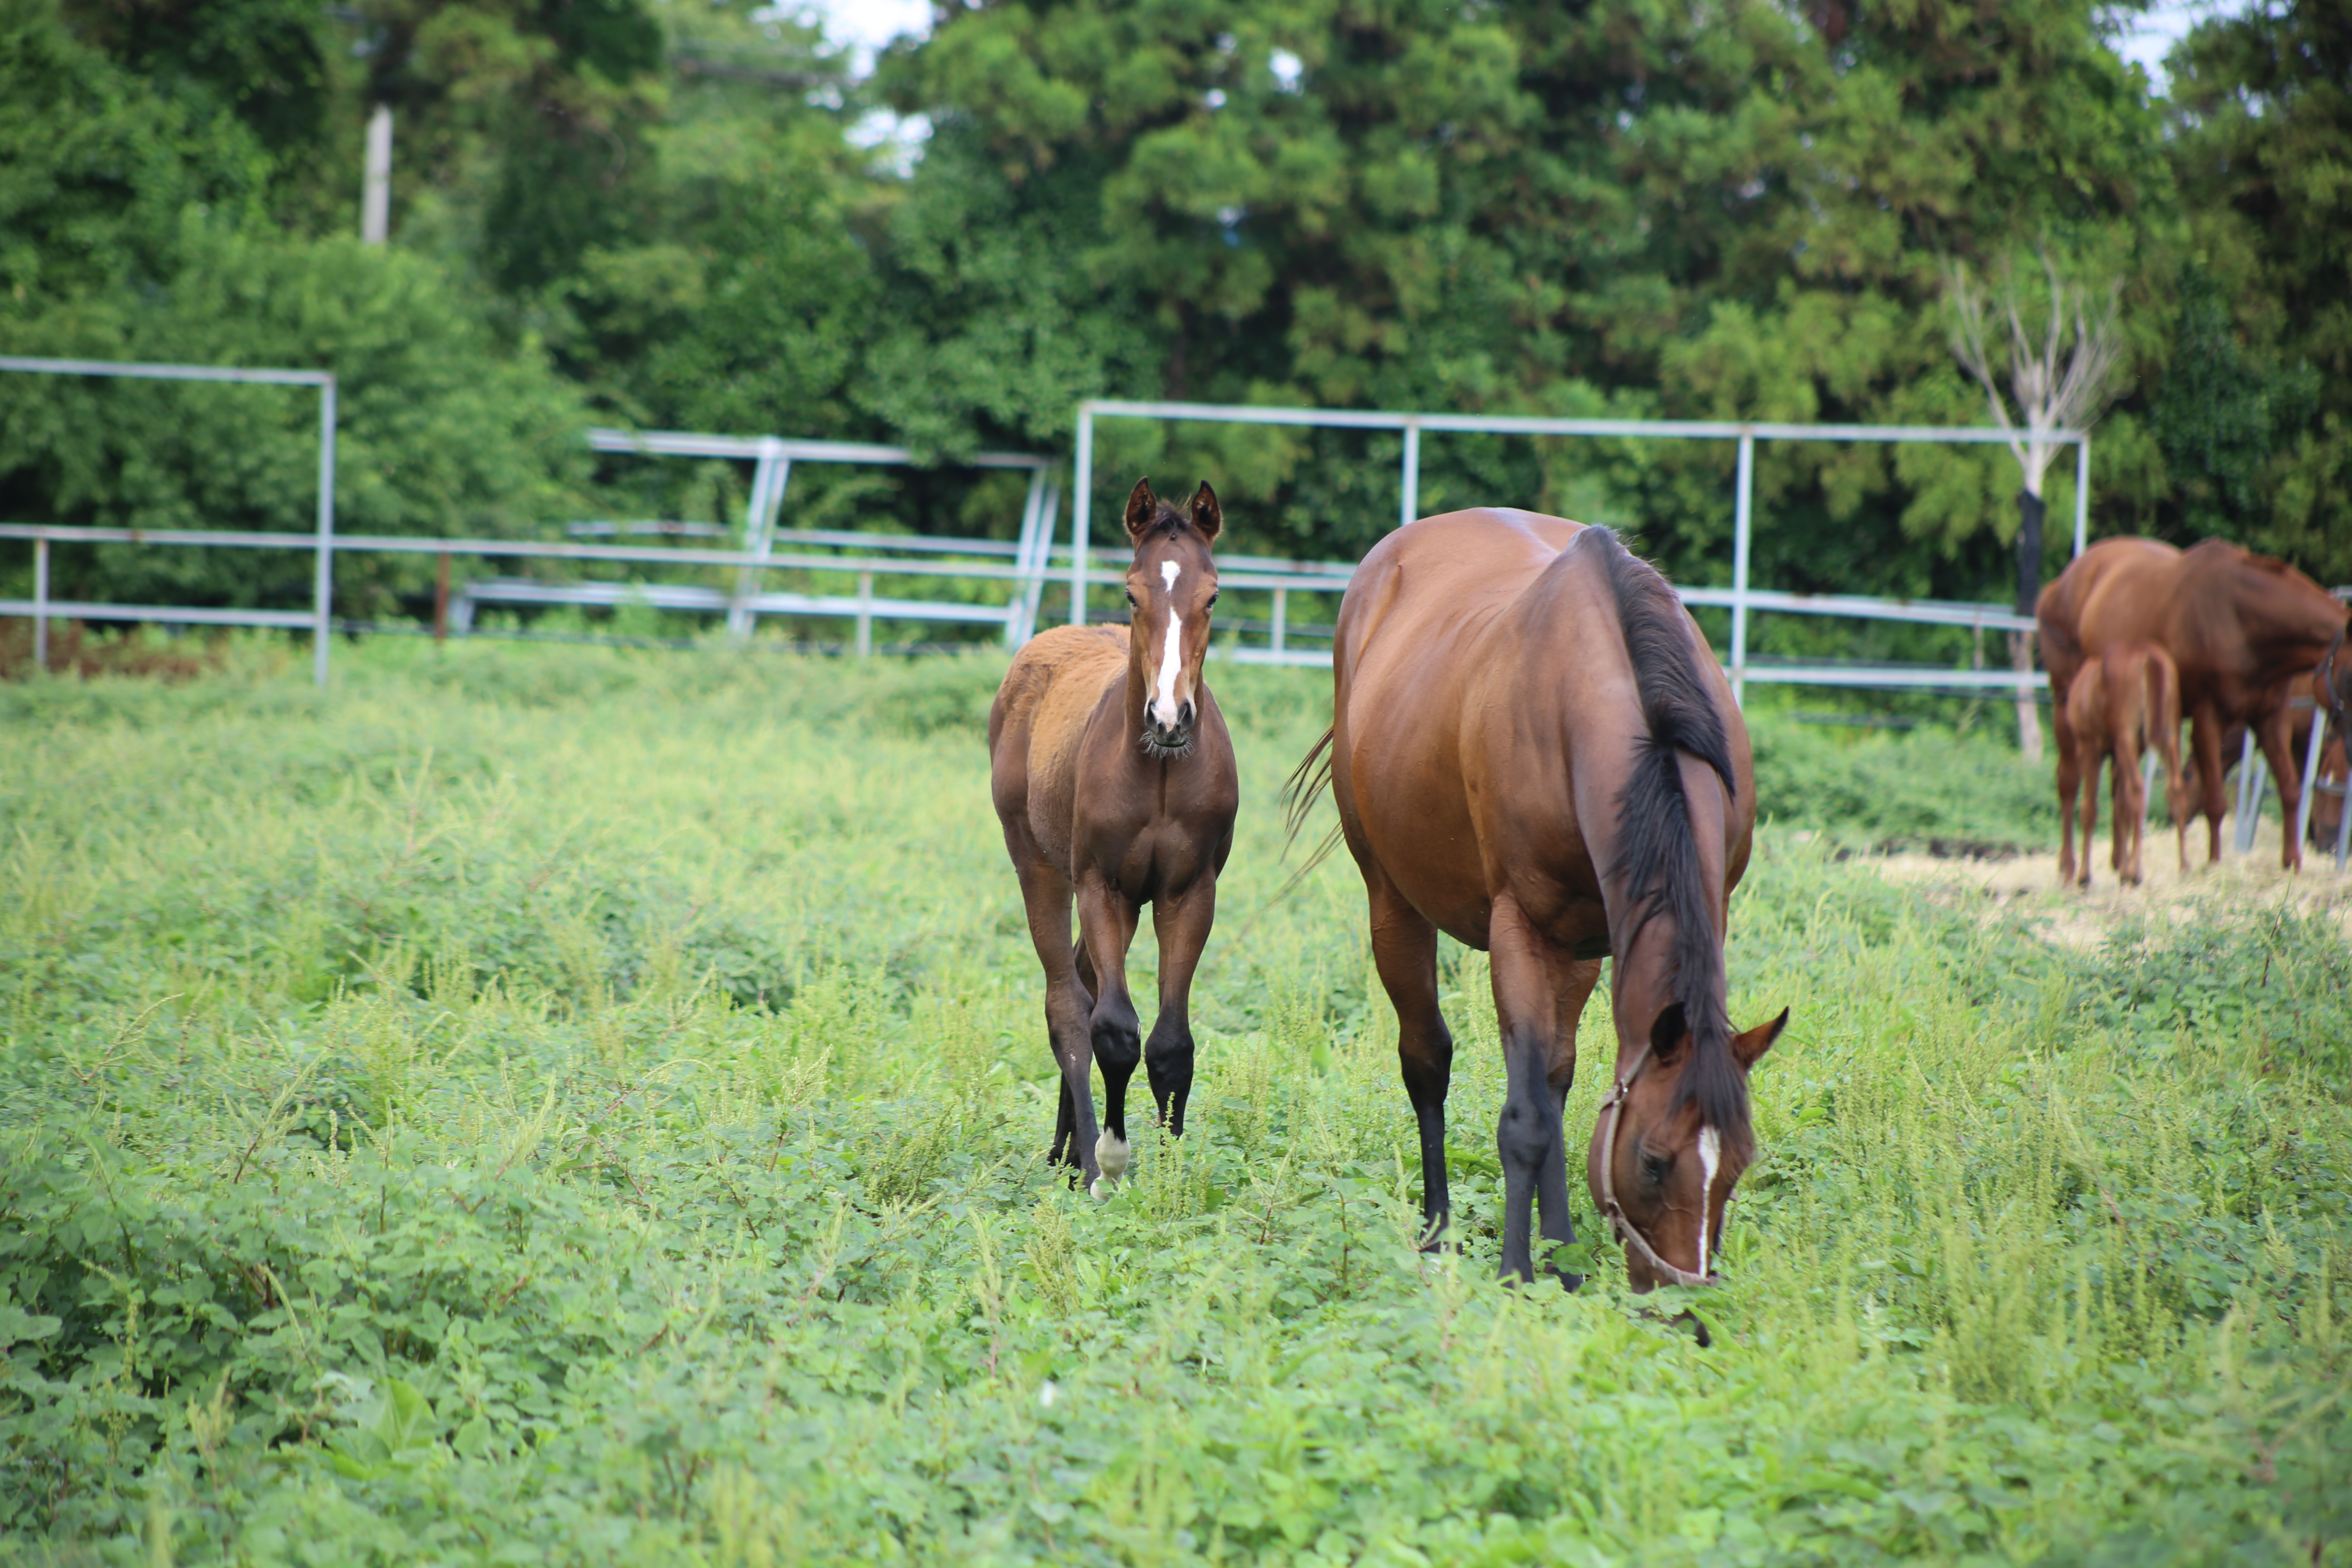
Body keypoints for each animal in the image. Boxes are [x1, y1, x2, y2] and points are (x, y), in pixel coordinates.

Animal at [988, 479, 1242, 1189]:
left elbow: (1171, 1042)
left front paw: (1173, 1176)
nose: (1169, 717)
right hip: (1041, 869)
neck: (1159, 772)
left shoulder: (1189, 893)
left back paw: (1064, 1147)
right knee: (1068, 1004)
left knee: (1083, 980)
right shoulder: (1104, 888)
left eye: (1213, 595)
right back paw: (1081, 1159)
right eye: (1132, 593)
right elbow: (1115, 1029)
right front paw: (1112, 1157)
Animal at [1289, 514, 1778, 1288]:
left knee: (1553, 1074)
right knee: (1426, 1058)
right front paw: (1518, 1272)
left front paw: (1564, 1260)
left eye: (1737, 1166)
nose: (1681, 1305)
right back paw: (1438, 1230)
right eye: (1653, 1161)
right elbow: (1525, 1119)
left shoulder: (1618, 932)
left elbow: (1553, 1090)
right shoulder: (1520, 928)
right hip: (1393, 904)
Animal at [2069, 639, 2192, 884]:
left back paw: (2135, 872)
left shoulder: (2089, 747)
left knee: (2137, 788)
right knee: (2175, 788)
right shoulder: (2125, 753)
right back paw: (2183, 866)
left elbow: (2090, 808)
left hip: (2125, 737)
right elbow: (2121, 806)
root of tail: (2150, 657)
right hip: (2169, 735)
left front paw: (2085, 876)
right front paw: (2122, 867)